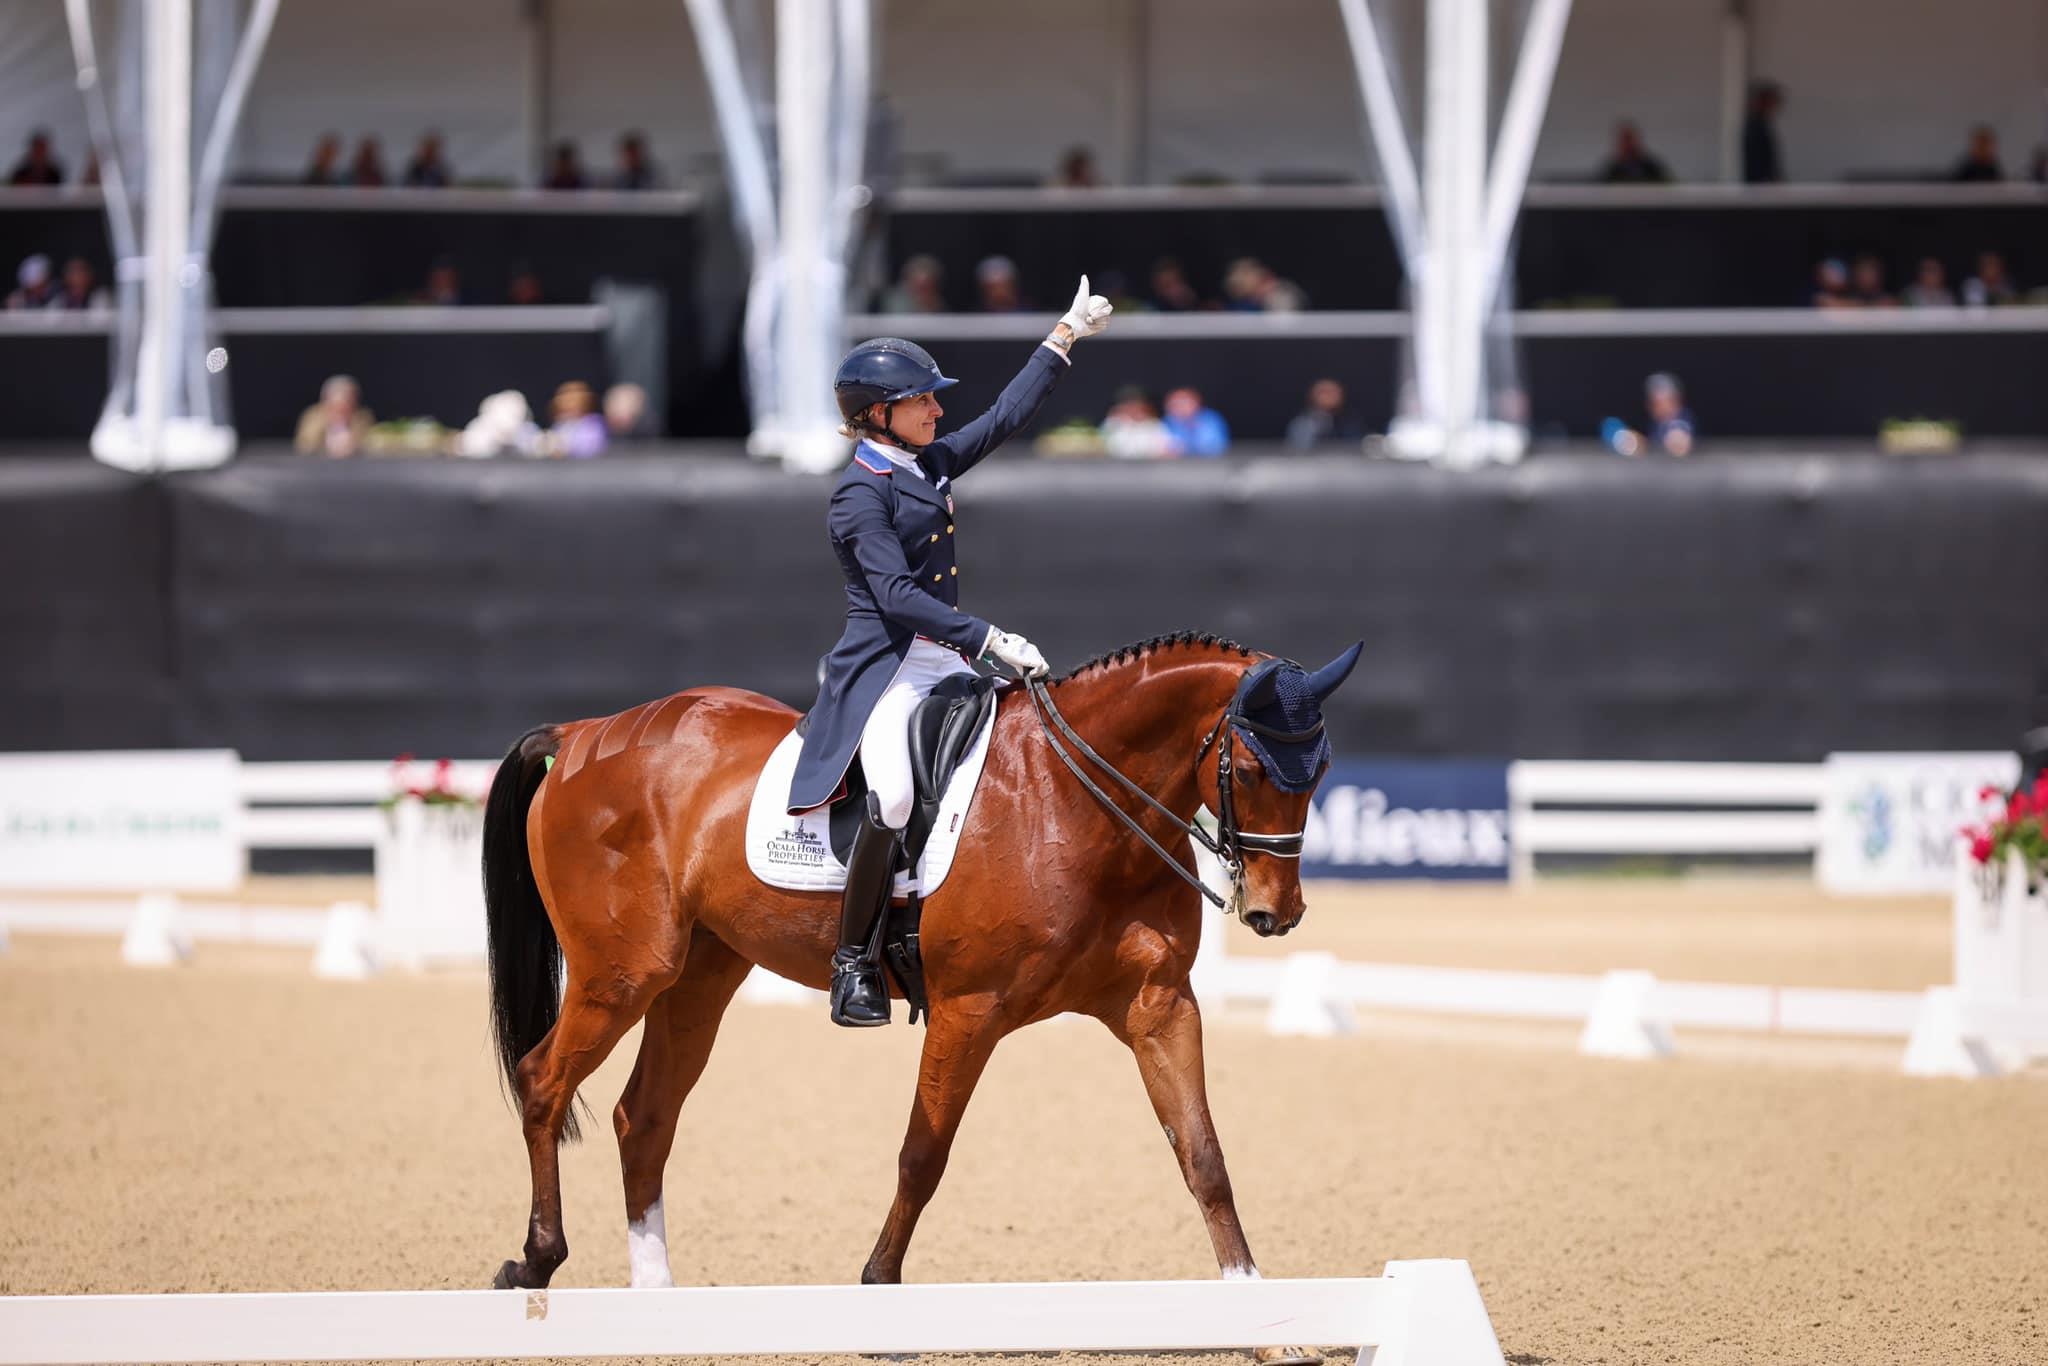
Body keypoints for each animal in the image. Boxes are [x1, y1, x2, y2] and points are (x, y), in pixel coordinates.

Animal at [479, 630, 1359, 1302]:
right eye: (1252, 770)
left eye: (1318, 771)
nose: (1274, 913)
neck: (1075, 804)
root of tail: (587, 731)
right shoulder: (970, 1010)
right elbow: (922, 1155)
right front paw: (879, 1285)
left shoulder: (1159, 1005)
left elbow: (1203, 1155)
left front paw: (1253, 1303)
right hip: (621, 972)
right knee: (543, 1081)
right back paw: (535, 1260)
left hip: (698, 976)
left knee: (645, 1117)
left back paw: (653, 1295)